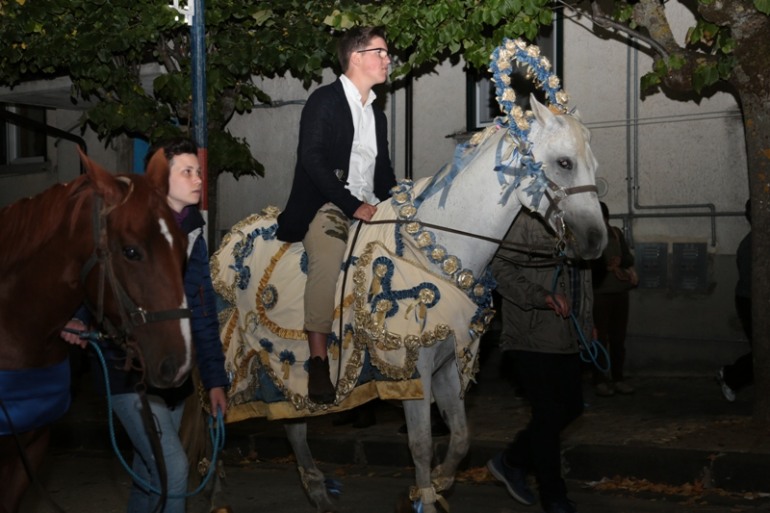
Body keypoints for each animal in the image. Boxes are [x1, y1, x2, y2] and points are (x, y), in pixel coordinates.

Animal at [208, 41, 608, 512]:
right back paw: (216, 488)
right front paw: (425, 496)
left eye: (592, 162)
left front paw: (436, 485)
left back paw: (317, 490)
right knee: (215, 409)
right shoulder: (410, 368)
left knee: (293, 422)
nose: (597, 241)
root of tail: (228, 240)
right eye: (563, 162)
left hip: (283, 369)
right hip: (235, 354)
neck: (436, 250)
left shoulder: (447, 365)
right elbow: (420, 444)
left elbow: (460, 438)